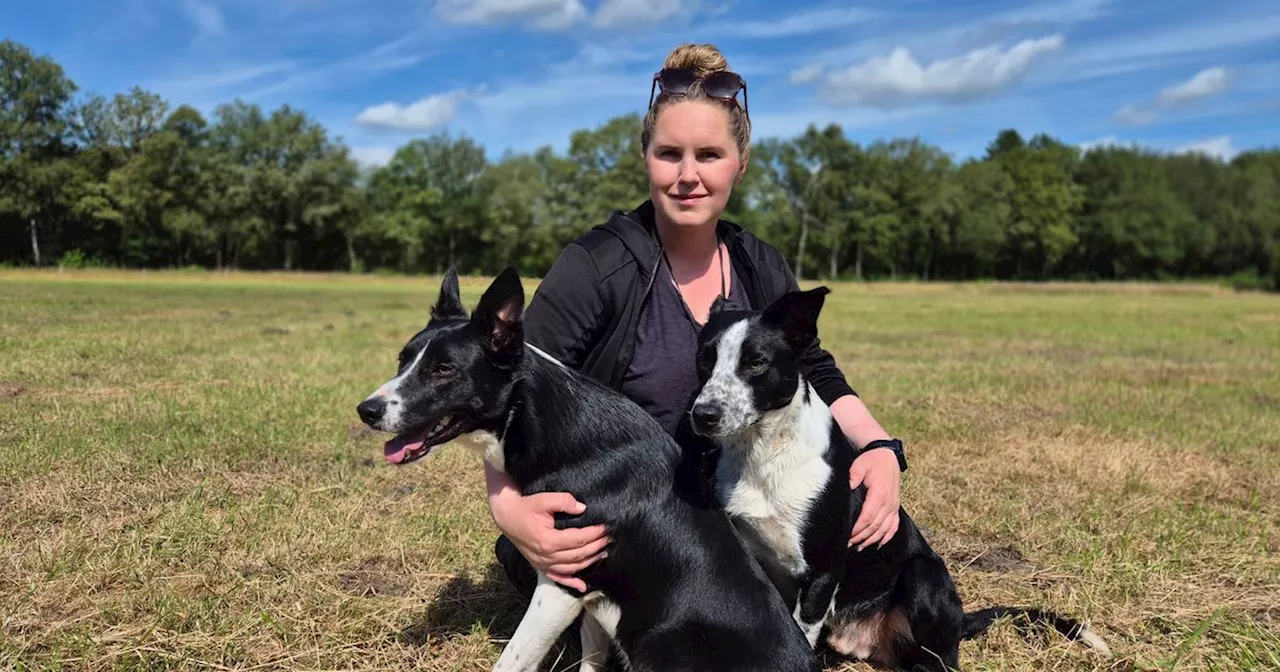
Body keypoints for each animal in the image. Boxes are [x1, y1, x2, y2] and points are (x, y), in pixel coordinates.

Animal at [358, 267, 819, 670]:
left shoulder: (562, 586)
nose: (366, 410)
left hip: (659, 639)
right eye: (403, 360)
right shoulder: (595, 599)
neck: (549, 425)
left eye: (443, 369)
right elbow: (591, 658)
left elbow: (512, 661)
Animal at [691, 288, 1111, 670]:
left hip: (923, 576)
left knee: (939, 659)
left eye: (755, 363)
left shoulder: (823, 572)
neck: (765, 453)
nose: (703, 415)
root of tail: (959, 623)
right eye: (703, 359)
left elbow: (802, 628)